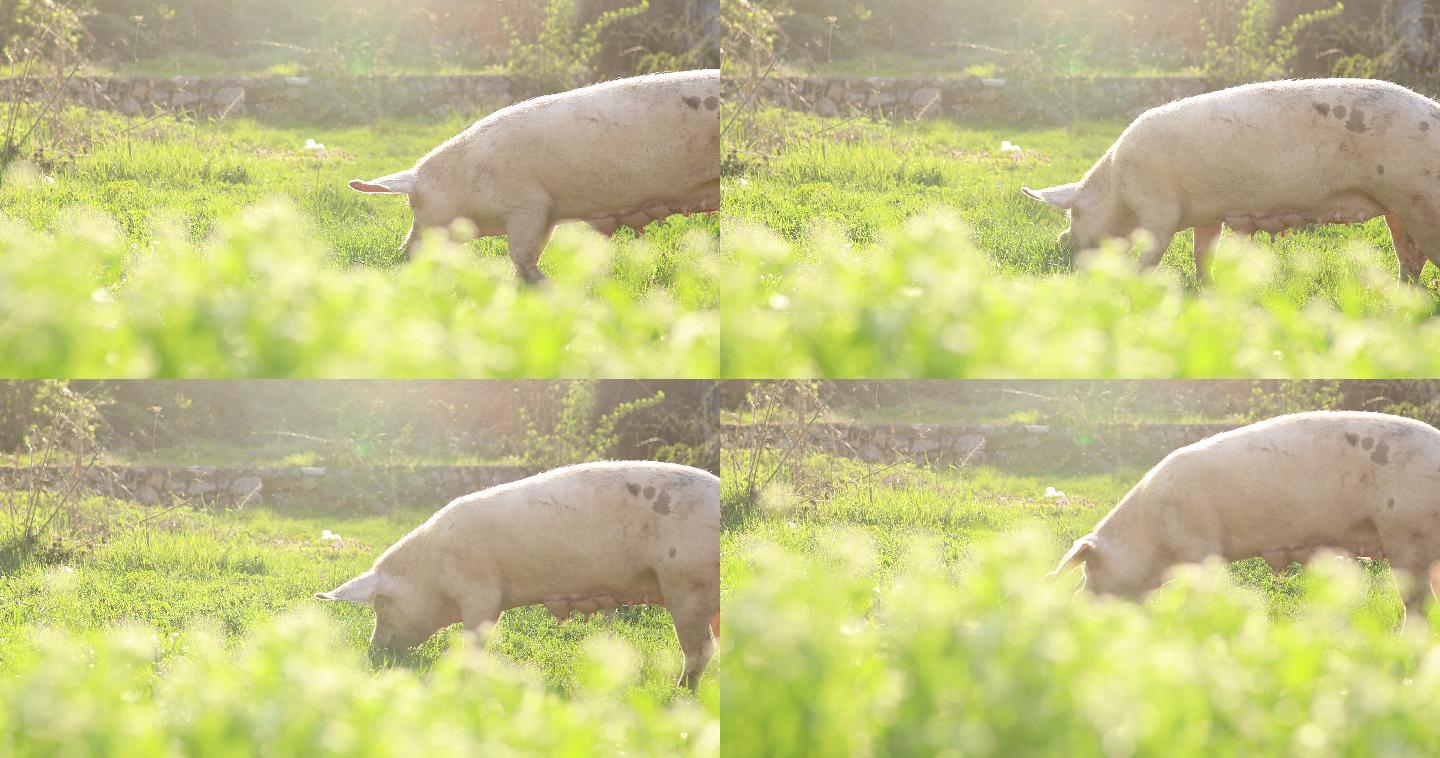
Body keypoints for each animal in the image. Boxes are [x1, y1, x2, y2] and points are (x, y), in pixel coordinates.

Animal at [316, 461, 720, 691]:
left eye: (381, 605)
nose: (374, 651)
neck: (431, 570)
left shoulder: (479, 590)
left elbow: (475, 635)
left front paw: (467, 675)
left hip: (687, 582)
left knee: (701, 650)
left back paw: (678, 694)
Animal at [348, 69, 720, 285]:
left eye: (413, 203)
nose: (406, 253)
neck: (466, 181)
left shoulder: (528, 206)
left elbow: (521, 253)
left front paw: (545, 286)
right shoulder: (547, 212)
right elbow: (533, 250)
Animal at [1019, 78, 1440, 283]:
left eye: (1073, 215)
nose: (1063, 246)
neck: (1117, 190)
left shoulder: (1158, 206)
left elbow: (1153, 252)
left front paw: (1134, 285)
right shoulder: (1208, 215)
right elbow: (1203, 252)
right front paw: (1206, 288)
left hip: (1420, 199)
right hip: (1399, 210)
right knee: (1410, 260)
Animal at [1054, 412, 1440, 628]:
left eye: (1090, 567)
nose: (1075, 604)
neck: (1150, 534)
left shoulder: (1197, 544)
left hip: (1407, 534)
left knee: (1419, 607)